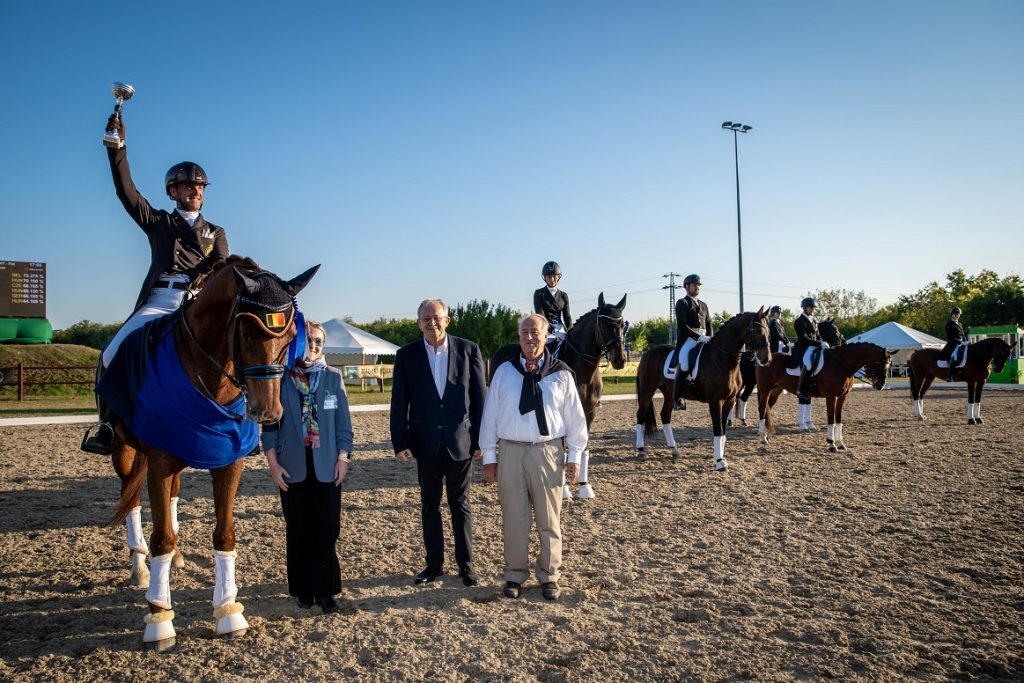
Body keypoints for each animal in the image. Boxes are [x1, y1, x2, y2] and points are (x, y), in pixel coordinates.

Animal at [102, 255, 315, 651]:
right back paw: (139, 568)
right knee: (132, 500)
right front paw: (159, 620)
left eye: (290, 338)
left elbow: (224, 533)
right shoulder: (158, 460)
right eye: (246, 332)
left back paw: (178, 559)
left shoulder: (228, 461)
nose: (268, 412)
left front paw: (229, 612)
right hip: (124, 451)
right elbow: (160, 538)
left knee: (170, 499)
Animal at [485, 290, 622, 499]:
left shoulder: (588, 412)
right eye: (604, 325)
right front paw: (564, 489)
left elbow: (583, 447)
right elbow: (562, 450)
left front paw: (584, 486)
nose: (619, 360)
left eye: (622, 325)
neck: (583, 369)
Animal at [630, 309, 770, 471]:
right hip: (647, 390)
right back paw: (641, 451)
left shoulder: (729, 400)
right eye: (758, 331)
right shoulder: (715, 401)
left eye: (768, 331)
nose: (766, 359)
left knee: (665, 416)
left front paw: (722, 458)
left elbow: (723, 430)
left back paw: (674, 450)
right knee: (640, 416)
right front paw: (719, 461)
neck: (722, 358)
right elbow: (718, 428)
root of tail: (647, 353)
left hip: (669, 393)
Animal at [757, 344, 892, 450]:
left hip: (776, 390)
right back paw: (763, 437)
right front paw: (831, 444)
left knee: (768, 408)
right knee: (762, 409)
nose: (880, 385)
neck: (841, 365)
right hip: (765, 390)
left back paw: (767, 434)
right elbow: (831, 418)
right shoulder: (831, 396)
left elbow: (838, 419)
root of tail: (765, 359)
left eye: (889, 365)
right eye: (878, 363)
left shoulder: (842, 396)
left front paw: (840, 443)